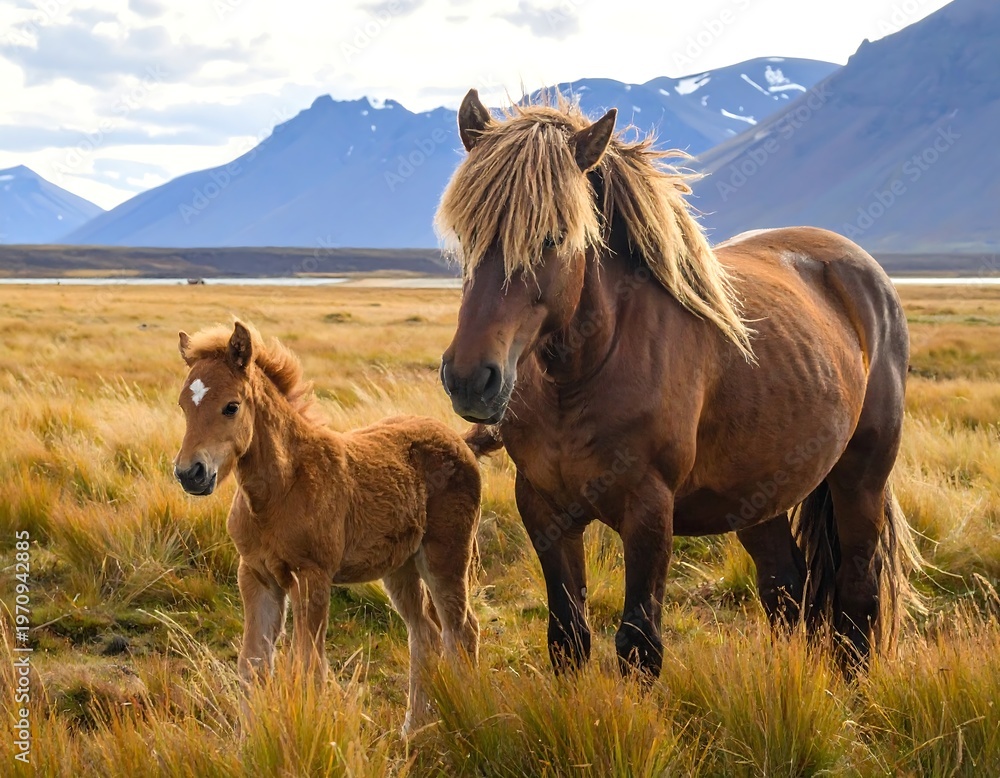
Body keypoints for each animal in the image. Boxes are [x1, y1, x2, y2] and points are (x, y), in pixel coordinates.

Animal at [173, 321, 482, 734]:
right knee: (425, 634)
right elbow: (253, 663)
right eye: (183, 405)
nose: (191, 473)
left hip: (446, 557)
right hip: (400, 567)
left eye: (231, 406)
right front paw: (249, 739)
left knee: (460, 631)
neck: (280, 491)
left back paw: (467, 719)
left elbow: (308, 666)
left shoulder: (312, 577)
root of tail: (460, 442)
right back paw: (411, 729)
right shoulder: (256, 576)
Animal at [437, 90, 922, 678]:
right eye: (467, 235)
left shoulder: (649, 511)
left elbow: (638, 644)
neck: (577, 378)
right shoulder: (543, 507)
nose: (470, 379)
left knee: (856, 592)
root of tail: (864, 273)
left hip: (860, 479)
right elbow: (567, 638)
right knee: (786, 590)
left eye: (553, 236)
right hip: (759, 493)